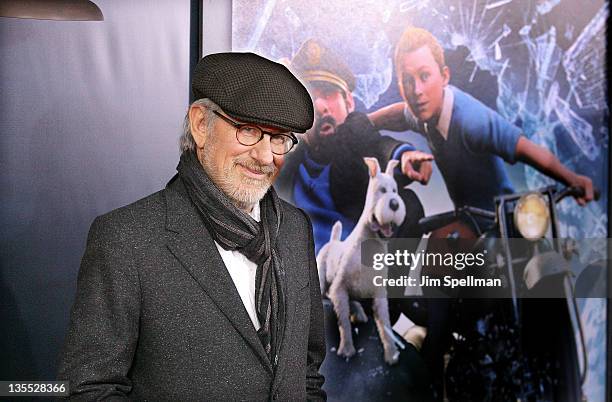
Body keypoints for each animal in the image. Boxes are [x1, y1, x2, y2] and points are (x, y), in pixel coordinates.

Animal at [316, 157, 406, 364]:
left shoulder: (379, 295)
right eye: (381, 190)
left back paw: (359, 313)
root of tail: (333, 241)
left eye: (395, 190)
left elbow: (385, 325)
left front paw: (391, 354)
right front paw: (347, 349)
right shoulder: (339, 289)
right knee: (328, 294)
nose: (395, 204)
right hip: (323, 280)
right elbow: (344, 324)